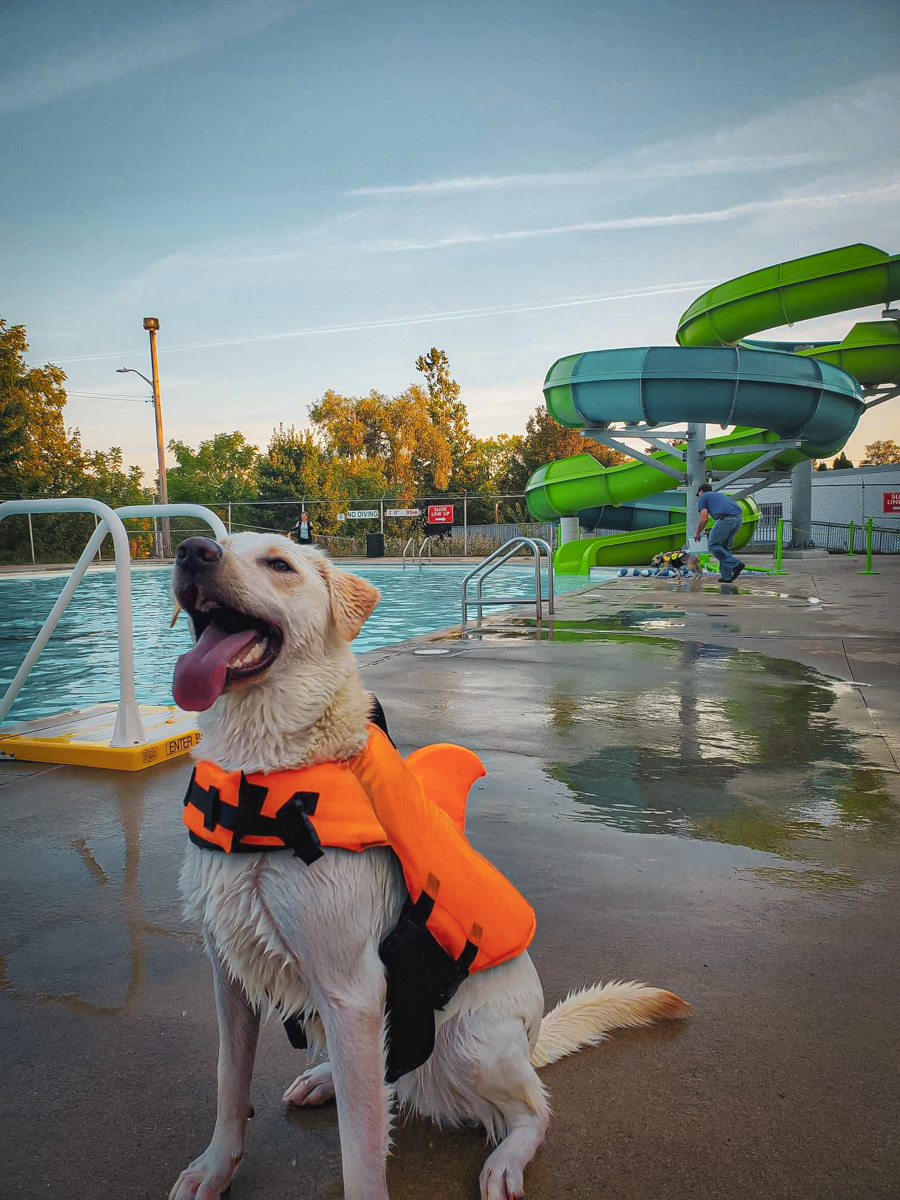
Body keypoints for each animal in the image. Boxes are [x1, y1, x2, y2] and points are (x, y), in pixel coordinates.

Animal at [169, 535, 691, 1200]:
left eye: (279, 565)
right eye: (214, 543)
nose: (191, 550)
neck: (263, 777)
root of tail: (534, 1038)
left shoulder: (353, 991)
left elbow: (362, 1150)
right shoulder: (229, 973)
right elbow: (229, 1083)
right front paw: (215, 1170)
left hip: (470, 1043)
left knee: (533, 1111)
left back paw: (506, 1160)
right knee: (382, 1075)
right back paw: (325, 1077)